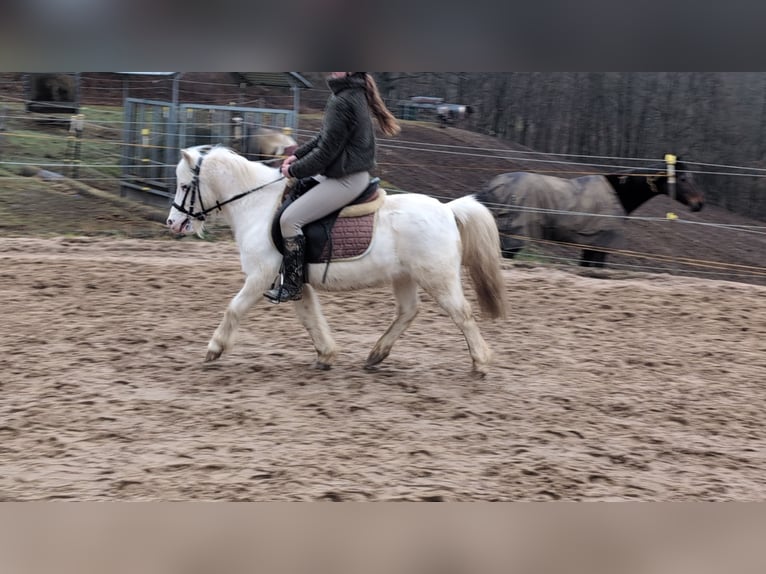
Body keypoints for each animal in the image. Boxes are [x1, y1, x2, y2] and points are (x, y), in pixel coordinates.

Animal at [166, 145, 507, 376]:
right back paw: (376, 355)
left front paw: (214, 349)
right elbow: (311, 317)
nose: (172, 223)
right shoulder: (293, 283)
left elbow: (233, 309)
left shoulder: (260, 276)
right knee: (408, 311)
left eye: (184, 186)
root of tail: (448, 209)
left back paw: (480, 362)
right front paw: (326, 355)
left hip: (437, 278)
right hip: (404, 277)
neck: (257, 205)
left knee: (461, 313)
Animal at [476, 158, 705, 268]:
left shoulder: (590, 245)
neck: (618, 193)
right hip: (513, 237)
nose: (699, 204)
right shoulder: (600, 246)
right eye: (683, 178)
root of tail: (491, 186)